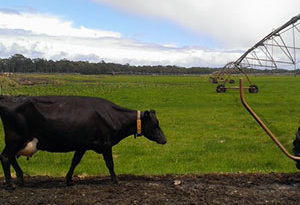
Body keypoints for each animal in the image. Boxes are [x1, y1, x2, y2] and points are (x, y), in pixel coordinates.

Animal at [0, 95, 166, 189]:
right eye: (155, 124)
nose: (164, 140)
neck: (114, 116)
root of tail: (8, 98)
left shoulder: (82, 145)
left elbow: (75, 162)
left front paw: (68, 180)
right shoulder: (106, 144)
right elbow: (110, 164)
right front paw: (116, 181)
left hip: (18, 141)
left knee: (11, 157)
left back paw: (20, 179)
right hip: (15, 139)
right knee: (5, 157)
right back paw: (10, 184)